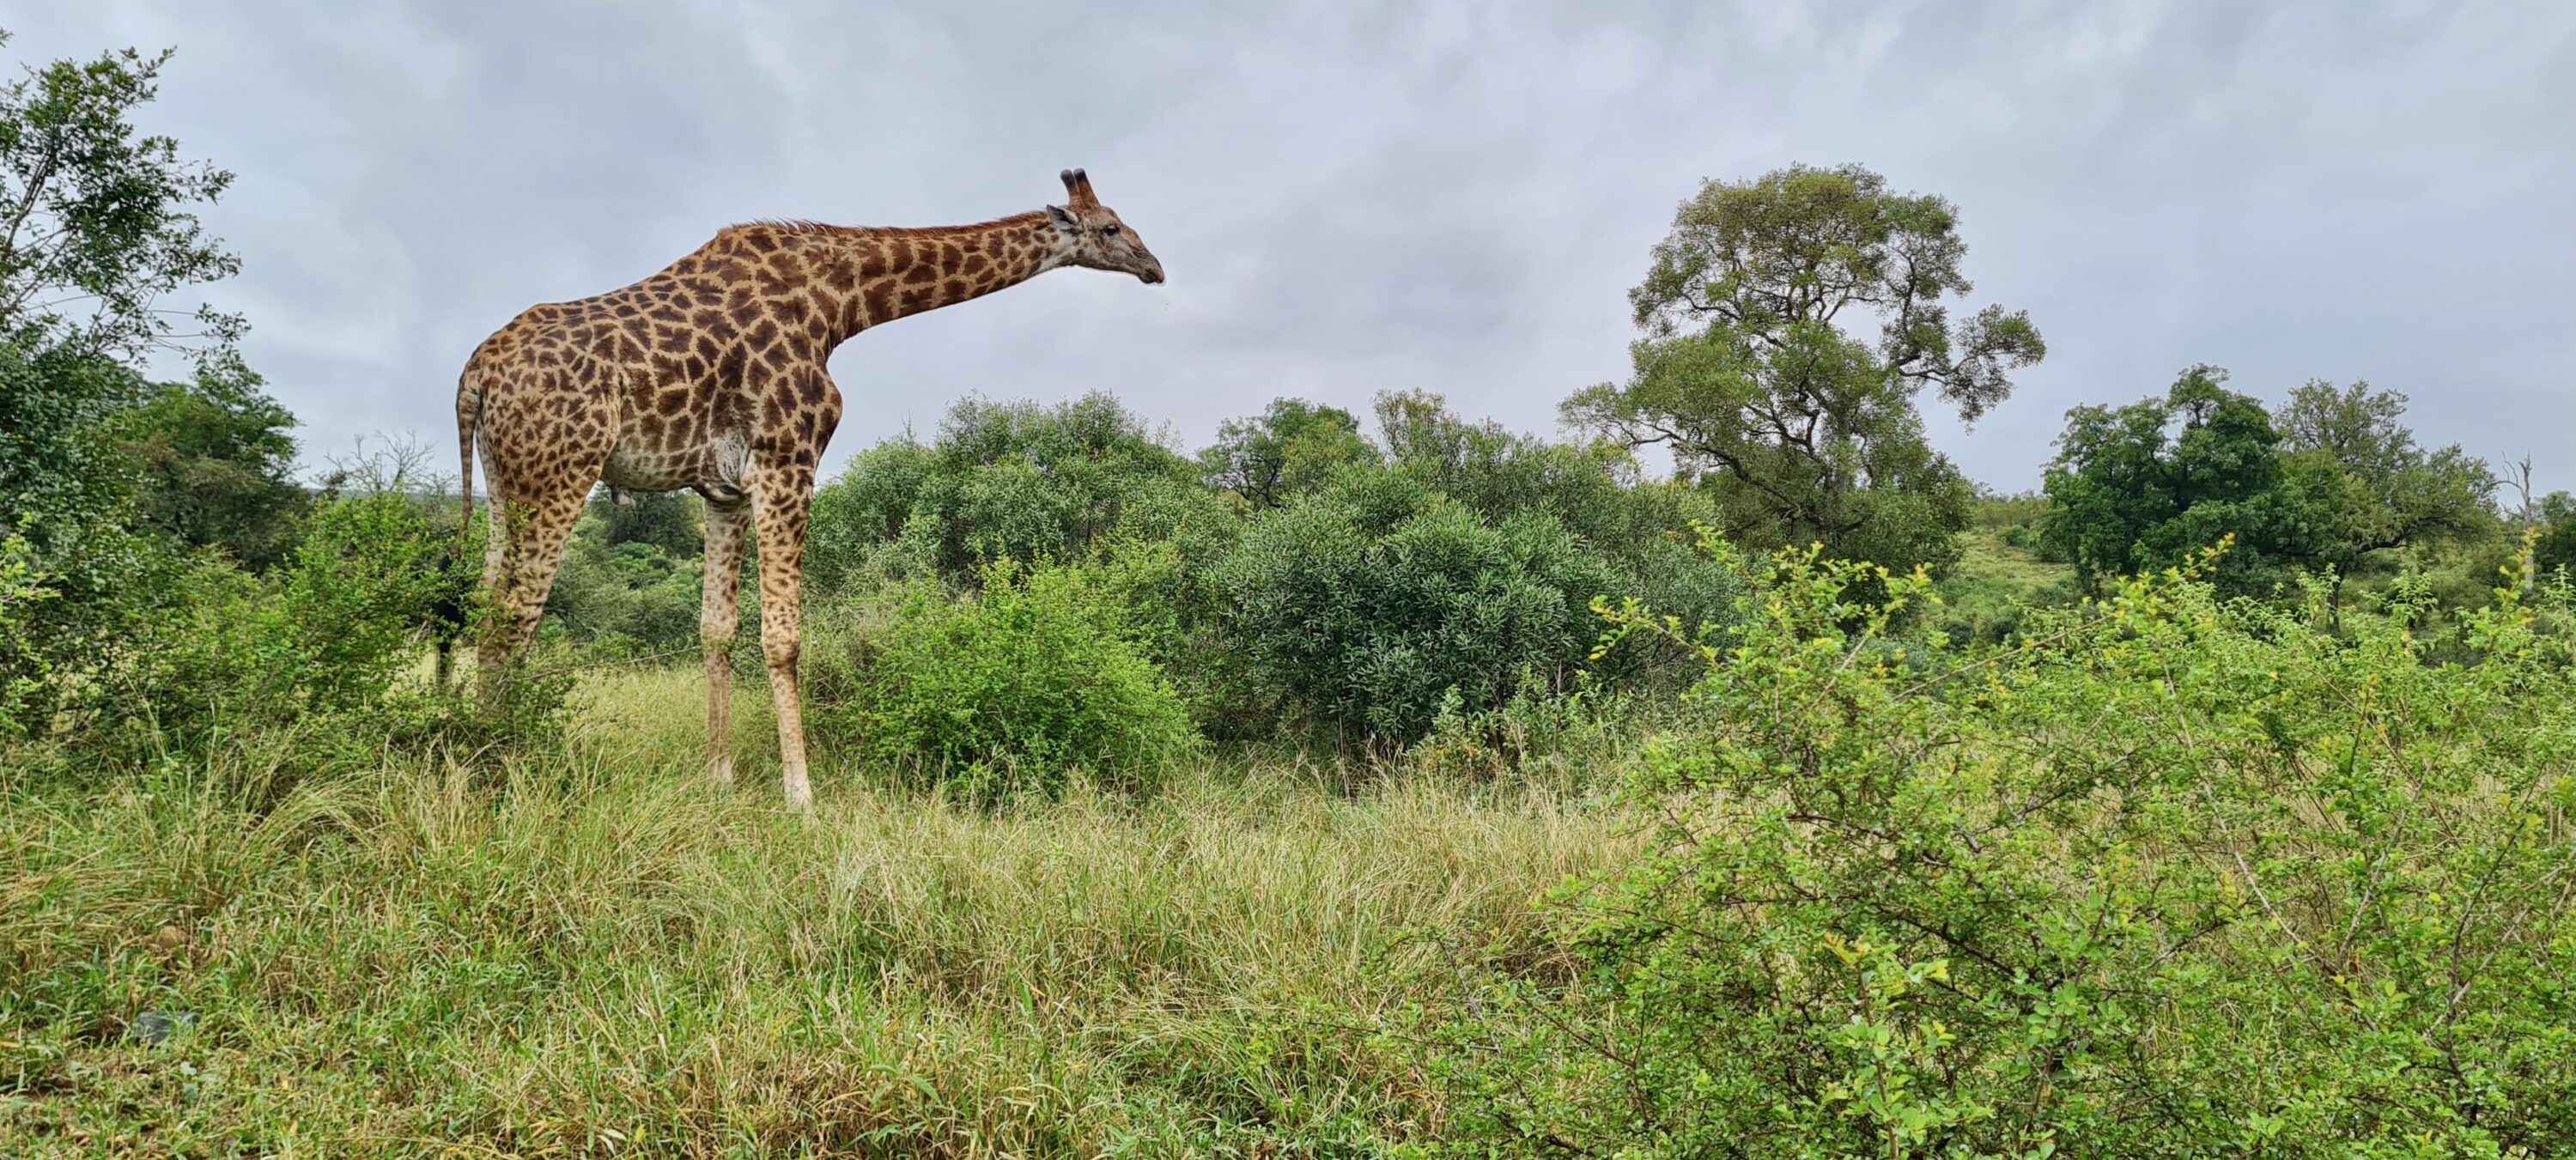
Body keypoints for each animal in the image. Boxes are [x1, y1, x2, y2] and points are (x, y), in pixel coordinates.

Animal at [455, 169, 1165, 807]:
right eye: (1111, 227)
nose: (1154, 266)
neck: (838, 304)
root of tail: (476, 375)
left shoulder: (723, 490)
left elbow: (716, 630)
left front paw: (719, 778)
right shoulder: (788, 462)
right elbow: (783, 637)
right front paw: (802, 794)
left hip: (503, 482)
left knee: (485, 604)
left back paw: (471, 745)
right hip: (559, 473)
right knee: (514, 616)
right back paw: (501, 766)